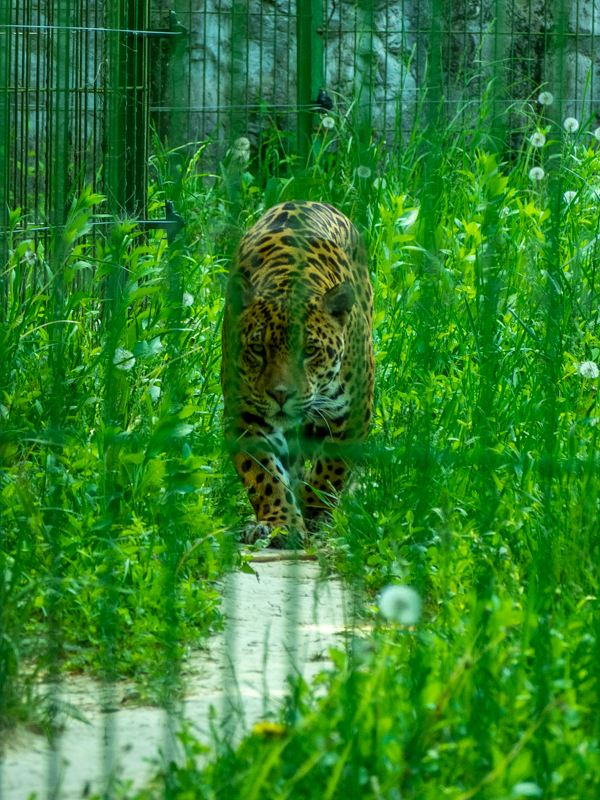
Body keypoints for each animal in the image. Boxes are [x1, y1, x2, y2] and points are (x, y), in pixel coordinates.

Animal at [221, 200, 374, 548]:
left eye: (310, 350)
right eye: (258, 349)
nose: (280, 395)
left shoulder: (353, 413)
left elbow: (331, 470)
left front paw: (313, 511)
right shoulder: (245, 416)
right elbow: (264, 475)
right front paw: (283, 523)